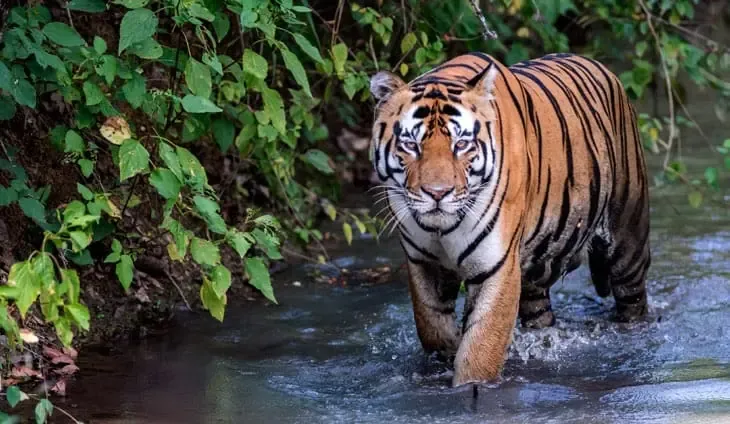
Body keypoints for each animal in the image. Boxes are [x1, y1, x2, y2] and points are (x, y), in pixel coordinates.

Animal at [368, 52, 651, 387]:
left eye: (461, 144)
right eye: (411, 145)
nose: (438, 193)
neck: (441, 228)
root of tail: (599, 66)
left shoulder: (497, 265)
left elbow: (480, 346)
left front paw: (469, 384)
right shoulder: (423, 262)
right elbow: (432, 326)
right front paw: (447, 353)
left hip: (627, 239)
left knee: (632, 299)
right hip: (536, 270)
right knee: (539, 312)